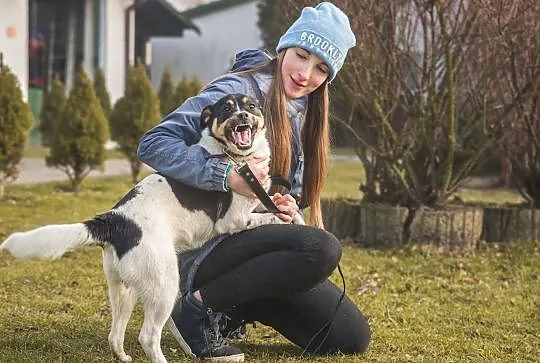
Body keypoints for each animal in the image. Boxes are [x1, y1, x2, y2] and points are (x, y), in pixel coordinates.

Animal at [1, 94, 304, 363]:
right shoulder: (234, 220)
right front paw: (285, 218)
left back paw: (123, 356)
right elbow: (270, 216)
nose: (242, 116)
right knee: (147, 336)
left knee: (115, 333)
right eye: (227, 109)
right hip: (164, 283)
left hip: (124, 288)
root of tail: (115, 220)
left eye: (251, 106)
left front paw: (294, 213)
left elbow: (273, 203)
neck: (235, 158)